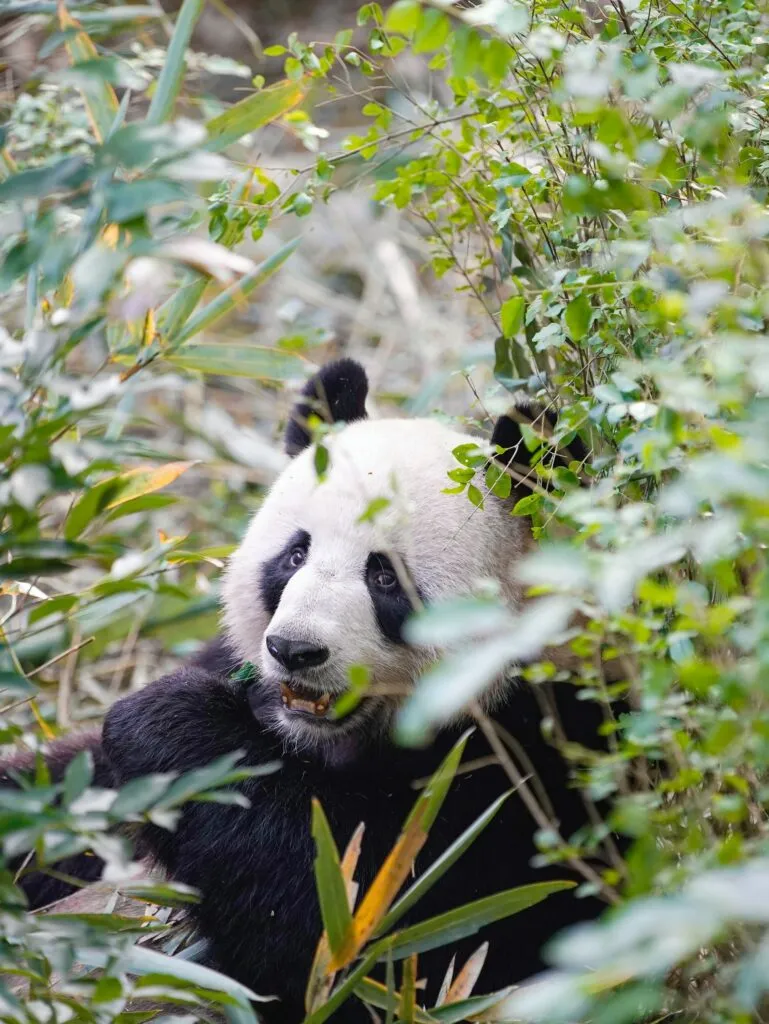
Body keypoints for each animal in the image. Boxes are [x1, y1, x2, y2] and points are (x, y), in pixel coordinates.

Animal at [4, 360, 614, 1024]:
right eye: (295, 555)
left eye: (385, 577)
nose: (294, 650)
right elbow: (66, 788)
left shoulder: (535, 769)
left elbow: (374, 936)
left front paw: (168, 722)